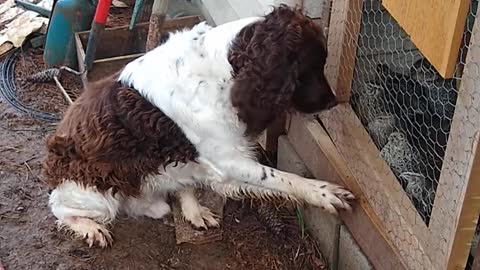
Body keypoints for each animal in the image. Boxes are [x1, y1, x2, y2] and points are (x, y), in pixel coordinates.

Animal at [43, 5, 354, 247]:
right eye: (310, 67)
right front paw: (324, 193)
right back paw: (90, 228)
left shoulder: (221, 161)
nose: (333, 101)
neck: (224, 71)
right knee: (59, 209)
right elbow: (283, 178)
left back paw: (189, 210)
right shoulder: (228, 161)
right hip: (96, 194)